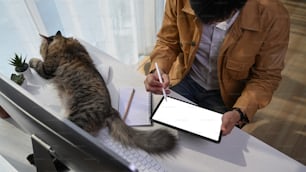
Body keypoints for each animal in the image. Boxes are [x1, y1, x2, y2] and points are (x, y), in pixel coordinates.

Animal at [29, 31, 177, 155]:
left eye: (40, 47)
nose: (38, 49)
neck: (65, 44)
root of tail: (110, 110)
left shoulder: (47, 68)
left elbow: (38, 63)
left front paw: (31, 60)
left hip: (77, 118)